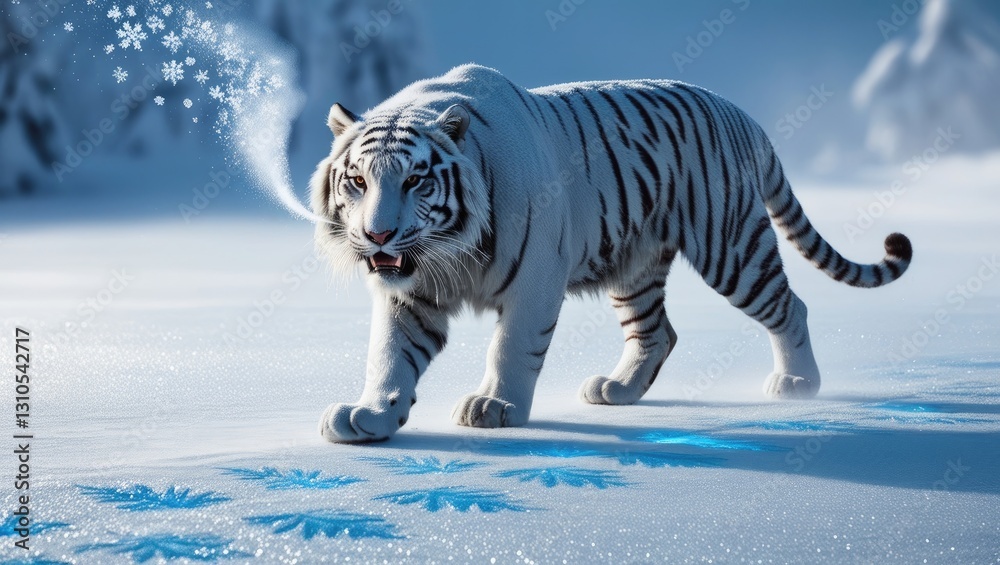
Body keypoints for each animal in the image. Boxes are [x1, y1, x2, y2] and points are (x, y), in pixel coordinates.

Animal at [310, 64, 912, 443]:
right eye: (358, 181)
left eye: (415, 180)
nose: (379, 235)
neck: (446, 250)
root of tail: (742, 115)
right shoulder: (410, 292)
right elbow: (390, 356)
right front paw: (369, 417)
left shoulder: (535, 278)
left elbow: (511, 348)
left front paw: (495, 407)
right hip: (635, 265)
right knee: (657, 333)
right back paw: (618, 390)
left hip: (732, 246)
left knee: (790, 307)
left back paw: (798, 385)